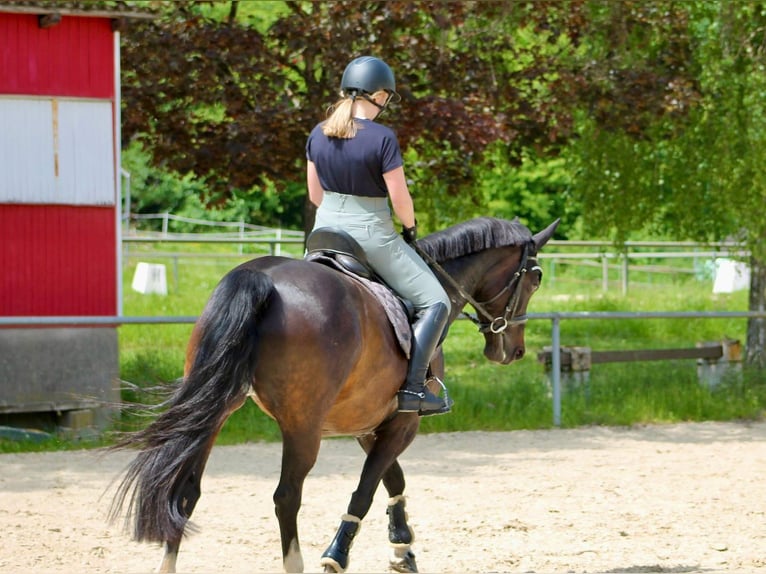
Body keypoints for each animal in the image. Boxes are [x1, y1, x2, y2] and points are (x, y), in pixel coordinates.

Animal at [110, 216, 559, 574]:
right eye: (536, 277)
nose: (513, 351)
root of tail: (262, 277)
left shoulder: (369, 423)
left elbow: (392, 478)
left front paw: (403, 548)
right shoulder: (404, 422)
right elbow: (365, 490)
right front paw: (338, 555)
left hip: (214, 412)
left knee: (185, 491)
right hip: (302, 427)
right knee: (286, 497)